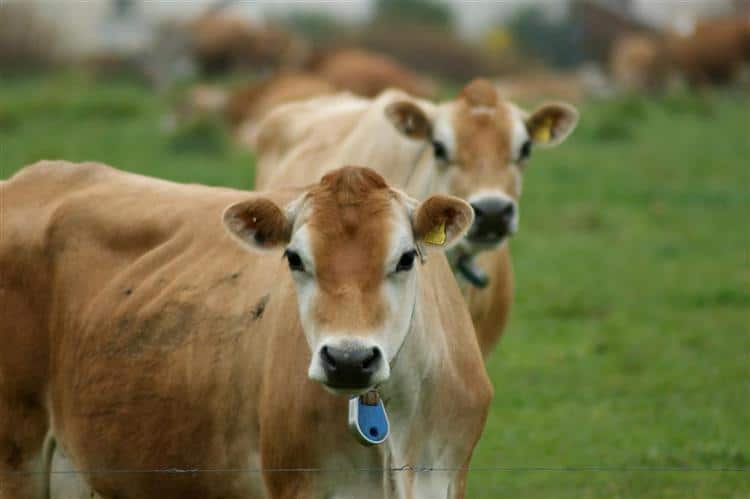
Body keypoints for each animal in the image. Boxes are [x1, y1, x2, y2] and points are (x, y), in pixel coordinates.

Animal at [0, 162, 490, 499]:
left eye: (406, 258)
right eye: (294, 258)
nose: (348, 359)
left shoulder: (446, 477)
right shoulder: (302, 483)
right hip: (17, 454)